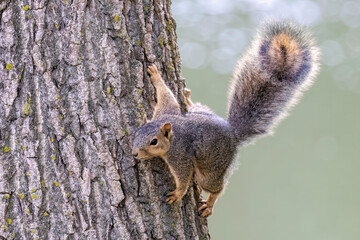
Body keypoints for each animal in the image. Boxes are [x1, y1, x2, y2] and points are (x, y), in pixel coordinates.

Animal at [132, 20, 320, 216]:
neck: (172, 133)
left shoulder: (180, 155)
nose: (134, 153)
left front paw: (177, 194)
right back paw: (189, 98)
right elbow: (166, 94)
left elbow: (183, 177)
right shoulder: (166, 111)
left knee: (216, 187)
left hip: (213, 169)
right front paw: (155, 75)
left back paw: (209, 204)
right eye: (137, 132)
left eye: (154, 141)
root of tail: (233, 135)